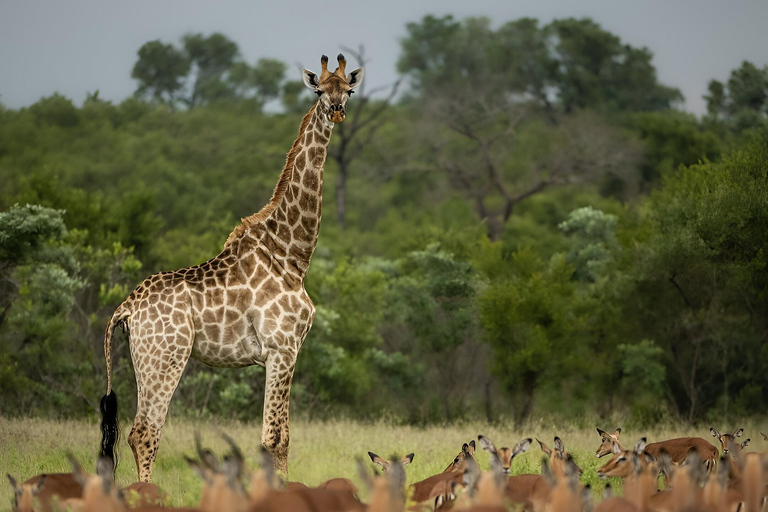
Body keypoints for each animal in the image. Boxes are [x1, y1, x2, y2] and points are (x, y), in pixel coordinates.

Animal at [100, 54, 366, 482]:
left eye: (349, 90)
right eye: (319, 91)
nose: (337, 110)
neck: (291, 253)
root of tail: (125, 308)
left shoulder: (285, 351)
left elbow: (279, 436)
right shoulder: (282, 347)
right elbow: (275, 438)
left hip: (144, 359)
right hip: (165, 358)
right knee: (144, 433)